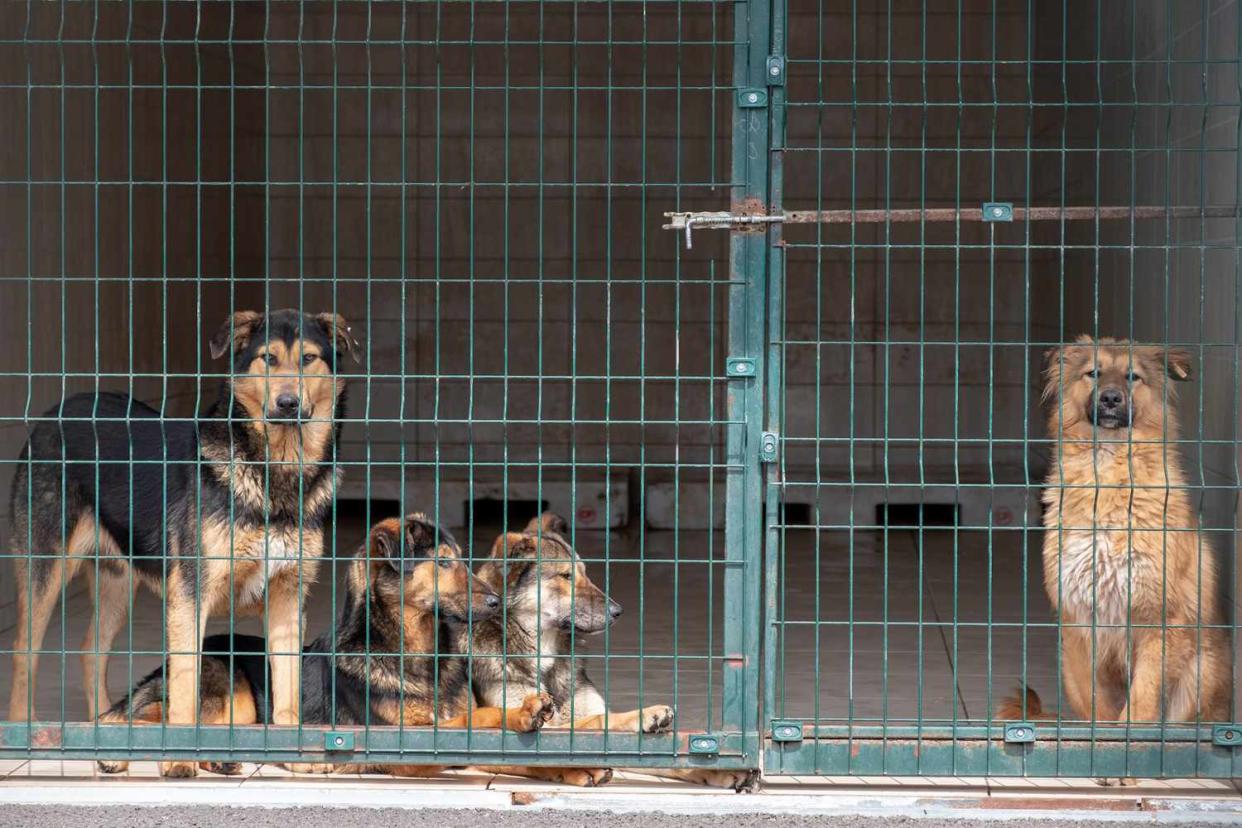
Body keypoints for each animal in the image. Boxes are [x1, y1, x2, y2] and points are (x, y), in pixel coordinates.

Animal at [8, 306, 360, 779]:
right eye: (267, 359)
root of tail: (59, 410)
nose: (287, 404)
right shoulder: (190, 596)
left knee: (91, 654)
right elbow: (185, 687)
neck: (273, 473)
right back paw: (25, 733)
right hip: (45, 565)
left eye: (308, 359)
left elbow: (289, 689)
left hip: (118, 580)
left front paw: (296, 754)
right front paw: (177, 757)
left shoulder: (288, 597)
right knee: (24, 650)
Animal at [98, 513, 558, 779]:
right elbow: (473, 720)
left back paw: (220, 760)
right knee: (142, 720)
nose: (497, 603)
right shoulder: (403, 744)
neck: (416, 655)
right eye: (444, 562)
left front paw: (528, 718)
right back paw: (121, 756)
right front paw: (522, 714)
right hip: (225, 693)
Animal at [466, 513, 750, 794]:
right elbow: (597, 722)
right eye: (565, 575)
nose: (618, 611)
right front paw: (646, 714)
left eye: (584, 572)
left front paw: (716, 768)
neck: (545, 661)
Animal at [998, 337, 1232, 724]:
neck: (1108, 474)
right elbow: (1099, 707)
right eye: (1093, 373)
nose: (1110, 398)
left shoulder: (1161, 618)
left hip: (1202, 673)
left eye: (1132, 377)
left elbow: (1140, 701)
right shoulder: (1079, 623)